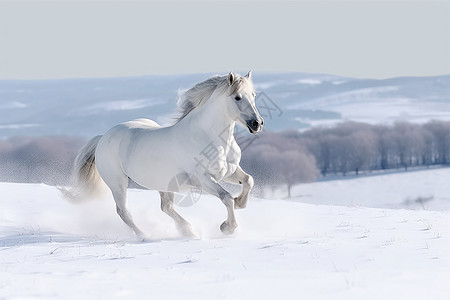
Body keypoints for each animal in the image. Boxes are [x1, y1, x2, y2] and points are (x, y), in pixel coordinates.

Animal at [62, 71, 264, 238]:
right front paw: (227, 227)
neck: (210, 137)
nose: (257, 123)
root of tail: (103, 137)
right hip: (117, 183)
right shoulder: (203, 179)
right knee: (123, 212)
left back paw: (188, 230)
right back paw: (145, 236)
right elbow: (226, 198)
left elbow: (248, 180)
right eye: (237, 97)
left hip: (163, 183)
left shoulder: (229, 172)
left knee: (166, 207)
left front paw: (240, 202)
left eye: (253, 95)